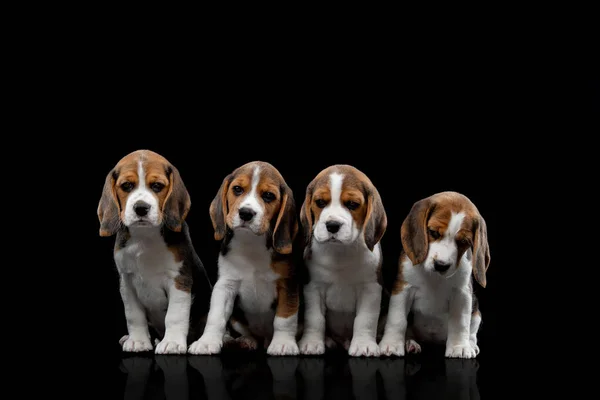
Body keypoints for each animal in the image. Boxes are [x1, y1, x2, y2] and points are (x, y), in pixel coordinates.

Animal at [97, 149, 212, 354]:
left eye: (157, 186)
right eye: (126, 186)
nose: (141, 208)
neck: (145, 236)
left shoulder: (178, 280)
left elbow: (174, 315)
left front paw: (172, 342)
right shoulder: (127, 282)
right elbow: (134, 315)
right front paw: (138, 341)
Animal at [189, 161, 298, 354]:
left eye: (268, 196)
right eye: (237, 189)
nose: (246, 213)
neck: (251, 242)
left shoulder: (288, 285)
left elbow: (284, 318)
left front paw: (283, 343)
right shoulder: (225, 285)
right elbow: (216, 317)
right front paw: (206, 342)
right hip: (237, 320)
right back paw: (244, 341)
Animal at [296, 164, 390, 358]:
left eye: (352, 204)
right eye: (320, 202)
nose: (332, 225)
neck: (340, 252)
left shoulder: (371, 288)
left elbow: (365, 318)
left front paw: (364, 345)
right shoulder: (313, 287)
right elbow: (315, 318)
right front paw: (311, 343)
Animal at [380, 191, 492, 360]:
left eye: (464, 241)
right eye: (433, 232)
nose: (441, 265)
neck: (435, 278)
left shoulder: (462, 294)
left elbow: (460, 323)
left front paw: (459, 347)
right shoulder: (403, 289)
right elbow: (397, 319)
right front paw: (391, 344)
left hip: (476, 311)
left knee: (472, 332)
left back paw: (470, 345)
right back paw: (410, 343)